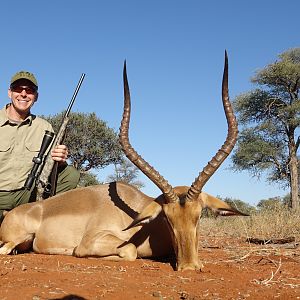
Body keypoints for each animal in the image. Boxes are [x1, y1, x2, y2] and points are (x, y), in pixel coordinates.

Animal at [0, 52, 246, 272]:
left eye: (199, 215)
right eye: (167, 218)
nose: (189, 267)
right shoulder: (95, 241)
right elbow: (129, 250)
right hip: (17, 239)